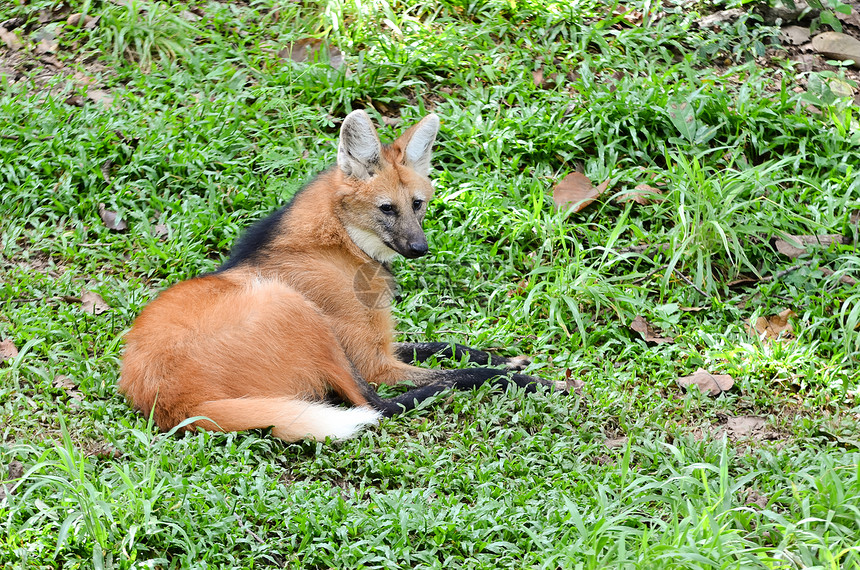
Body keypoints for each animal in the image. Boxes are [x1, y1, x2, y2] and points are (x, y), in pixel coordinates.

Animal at [117, 110, 556, 440]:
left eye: (417, 204)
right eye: (386, 208)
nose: (419, 248)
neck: (341, 243)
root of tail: (172, 404)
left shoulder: (380, 343)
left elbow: (444, 346)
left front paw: (501, 356)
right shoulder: (375, 362)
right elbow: (453, 372)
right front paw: (524, 377)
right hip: (295, 308)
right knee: (374, 405)